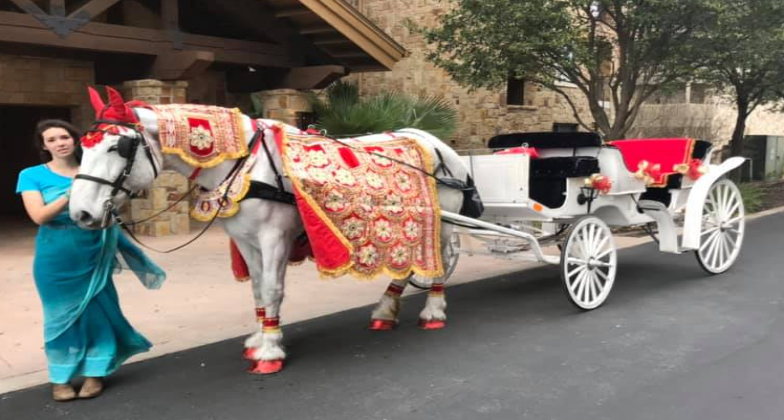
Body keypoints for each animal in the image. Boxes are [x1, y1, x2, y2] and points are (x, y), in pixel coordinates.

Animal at [69, 86, 466, 374]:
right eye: (82, 147)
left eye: (118, 146)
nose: (81, 213)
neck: (247, 164)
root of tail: (437, 143)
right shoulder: (246, 240)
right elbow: (258, 290)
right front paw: (260, 337)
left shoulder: (274, 237)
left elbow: (274, 289)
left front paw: (271, 351)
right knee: (412, 264)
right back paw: (385, 311)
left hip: (444, 223)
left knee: (439, 261)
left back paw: (433, 312)